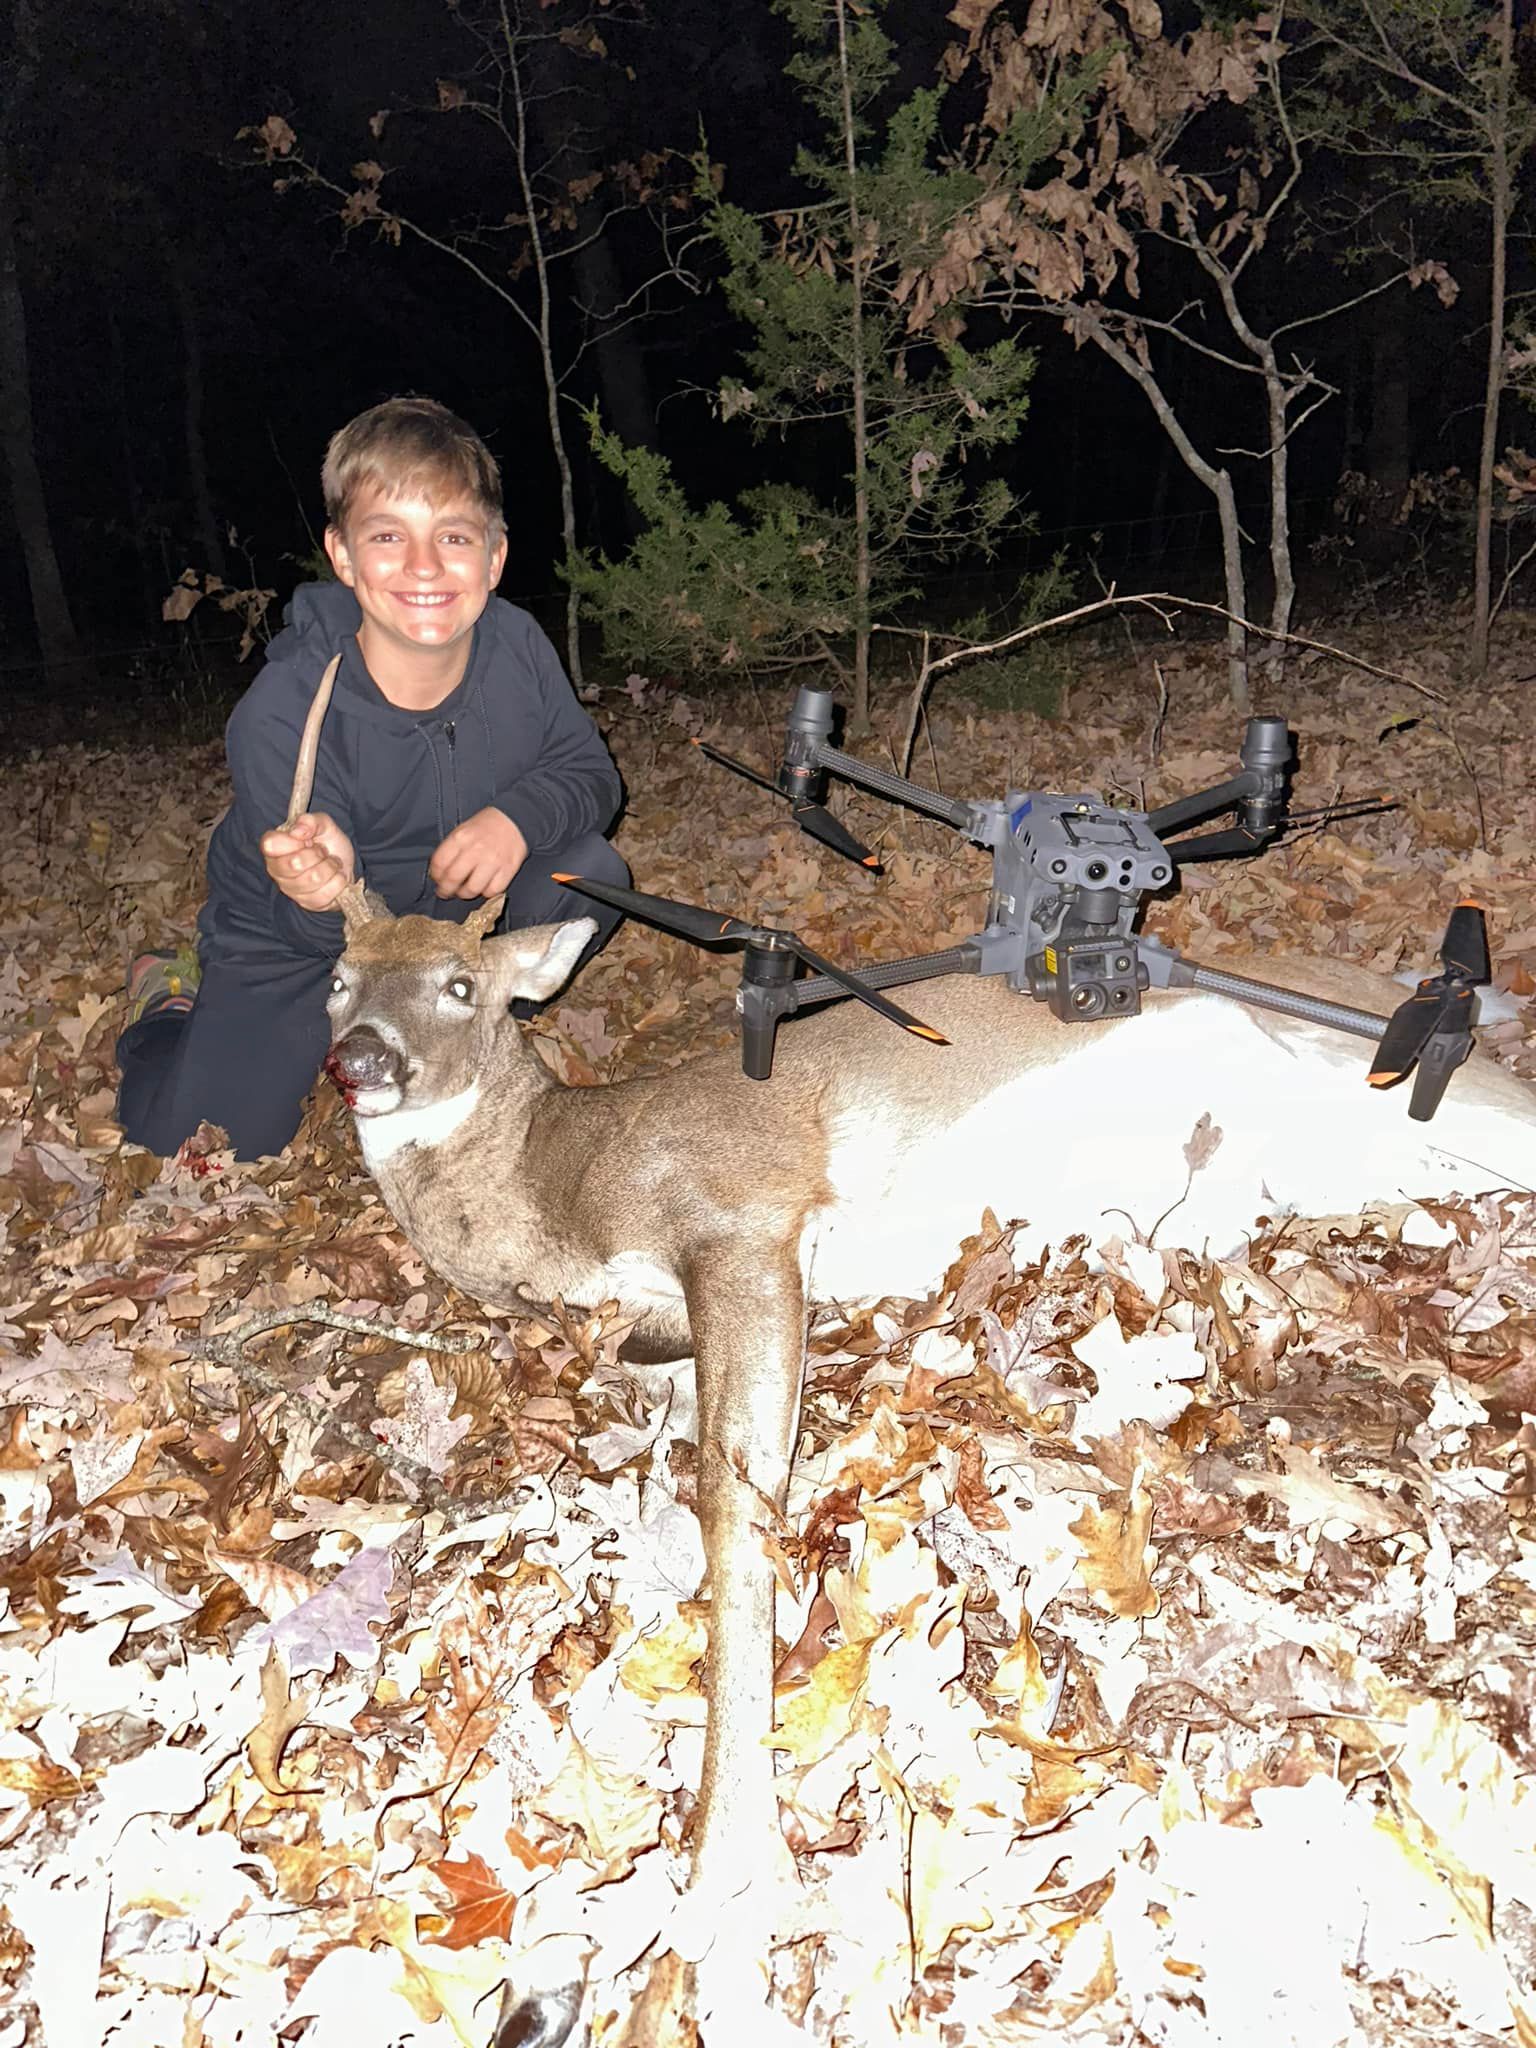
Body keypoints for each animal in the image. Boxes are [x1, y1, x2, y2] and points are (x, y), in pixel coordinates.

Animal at [287, 657, 1536, 2041]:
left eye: (462, 986)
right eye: (338, 978)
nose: (359, 1060)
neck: (560, 1189)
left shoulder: (743, 1213)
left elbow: (735, 1501)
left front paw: (724, 1874)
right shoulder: (656, 1321)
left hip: (1377, 1075)